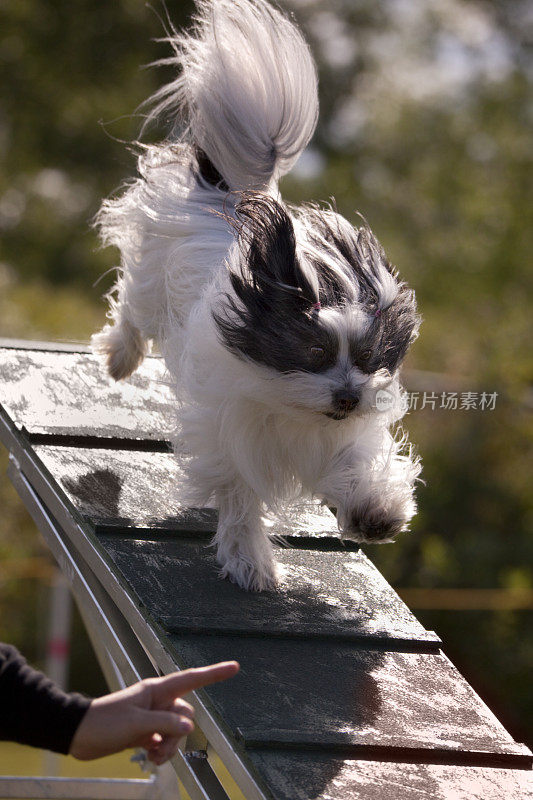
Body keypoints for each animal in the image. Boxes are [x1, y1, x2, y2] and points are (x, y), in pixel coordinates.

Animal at [93, 0, 422, 588]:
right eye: (313, 351)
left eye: (367, 358)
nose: (347, 397)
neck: (286, 402)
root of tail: (234, 190)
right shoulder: (230, 430)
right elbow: (240, 492)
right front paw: (251, 560)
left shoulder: (336, 435)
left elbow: (353, 464)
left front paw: (375, 512)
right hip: (152, 275)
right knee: (132, 308)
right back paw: (119, 358)